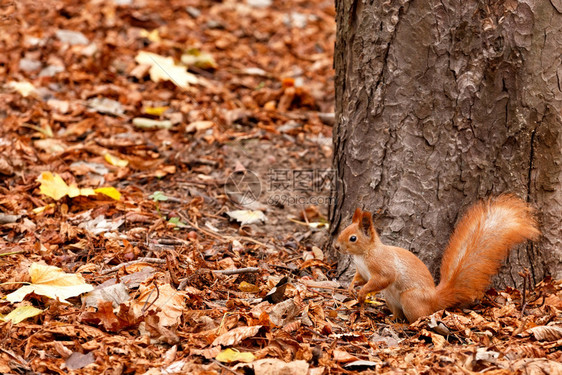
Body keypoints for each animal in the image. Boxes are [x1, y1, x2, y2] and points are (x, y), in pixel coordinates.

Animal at [332, 197, 540, 324]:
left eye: (353, 238)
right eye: (343, 230)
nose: (336, 247)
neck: (363, 254)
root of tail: (435, 299)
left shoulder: (383, 266)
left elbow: (383, 279)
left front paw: (362, 293)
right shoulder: (362, 271)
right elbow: (359, 279)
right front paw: (351, 287)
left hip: (410, 298)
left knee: (420, 316)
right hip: (391, 299)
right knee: (399, 313)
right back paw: (393, 319)